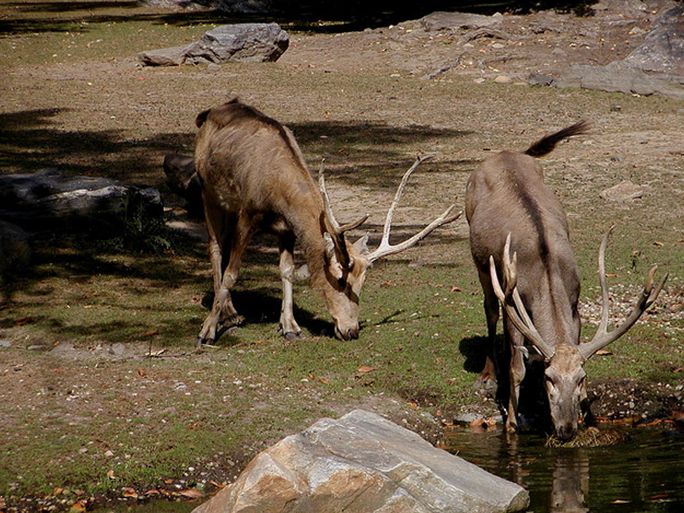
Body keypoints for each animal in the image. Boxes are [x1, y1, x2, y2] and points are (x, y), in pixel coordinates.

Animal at [192, 98, 460, 346]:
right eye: (341, 280)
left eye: (363, 281)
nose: (351, 331)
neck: (276, 194)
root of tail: (206, 114)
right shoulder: (248, 213)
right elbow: (232, 273)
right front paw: (207, 331)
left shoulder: (287, 229)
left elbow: (286, 271)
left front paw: (290, 327)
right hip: (208, 192)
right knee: (215, 248)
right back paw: (228, 314)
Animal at [464, 123, 668, 440]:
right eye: (549, 378)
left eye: (580, 378)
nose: (567, 429)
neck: (543, 275)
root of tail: (505, 152)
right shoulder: (515, 303)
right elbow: (516, 367)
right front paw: (511, 423)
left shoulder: (575, 304)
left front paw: (587, 415)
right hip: (480, 259)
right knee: (490, 308)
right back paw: (488, 374)